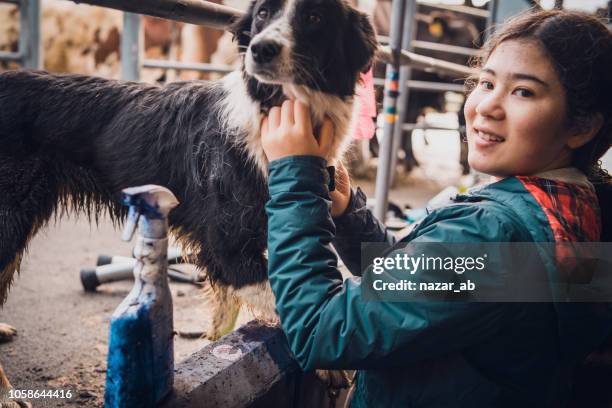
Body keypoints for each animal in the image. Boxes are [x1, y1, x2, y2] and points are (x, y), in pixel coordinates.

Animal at [0, 0, 378, 356]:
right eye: (263, 13)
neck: (272, 108)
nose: (260, 49)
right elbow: (281, 304)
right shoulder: (227, 245)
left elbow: (225, 319)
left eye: (315, 17)